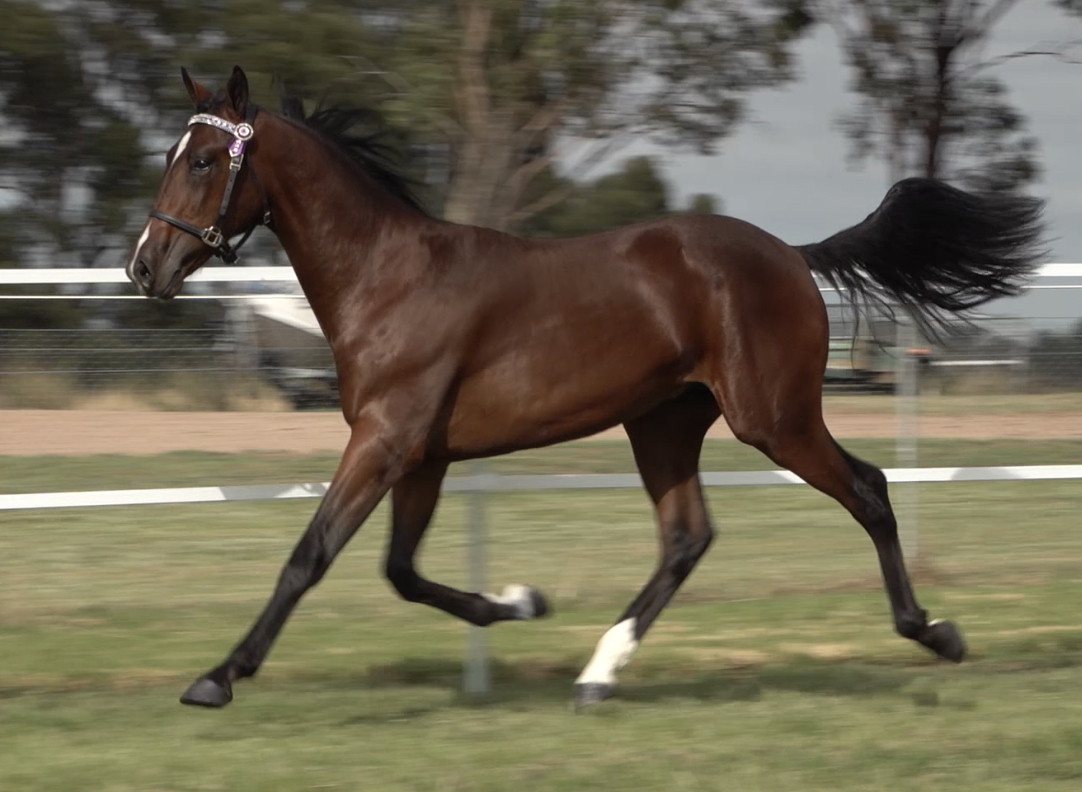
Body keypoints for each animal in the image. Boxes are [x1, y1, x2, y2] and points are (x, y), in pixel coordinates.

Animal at [127, 66, 1045, 711]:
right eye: (170, 156)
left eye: (204, 159)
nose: (146, 266)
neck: (386, 279)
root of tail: (791, 253)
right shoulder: (421, 455)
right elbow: (401, 571)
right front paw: (521, 601)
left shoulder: (385, 442)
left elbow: (310, 556)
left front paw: (217, 676)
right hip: (665, 424)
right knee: (687, 537)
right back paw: (599, 671)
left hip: (773, 417)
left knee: (870, 489)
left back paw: (935, 632)